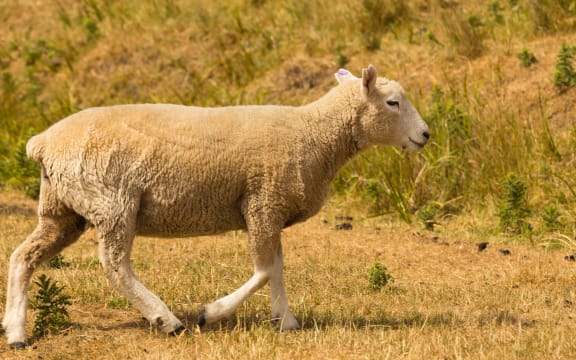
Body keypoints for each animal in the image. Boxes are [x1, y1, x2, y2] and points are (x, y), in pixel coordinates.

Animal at [3, 63, 428, 348]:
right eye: (393, 103)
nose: (425, 134)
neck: (314, 134)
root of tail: (42, 143)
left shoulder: (270, 208)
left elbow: (276, 268)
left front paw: (285, 320)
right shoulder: (262, 202)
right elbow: (263, 270)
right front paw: (212, 312)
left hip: (63, 209)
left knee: (23, 257)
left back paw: (15, 331)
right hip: (112, 201)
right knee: (114, 266)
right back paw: (166, 319)